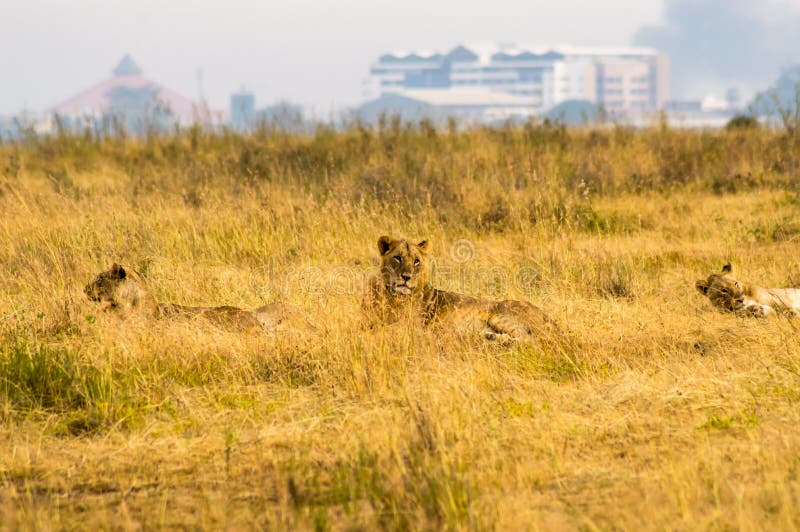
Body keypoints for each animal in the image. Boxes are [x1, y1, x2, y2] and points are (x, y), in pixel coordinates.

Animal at [362, 235, 564, 342]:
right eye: (397, 258)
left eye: (417, 261)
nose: (406, 277)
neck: (391, 296)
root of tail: (551, 320)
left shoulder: (412, 327)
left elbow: (380, 331)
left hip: (499, 313)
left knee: (528, 339)